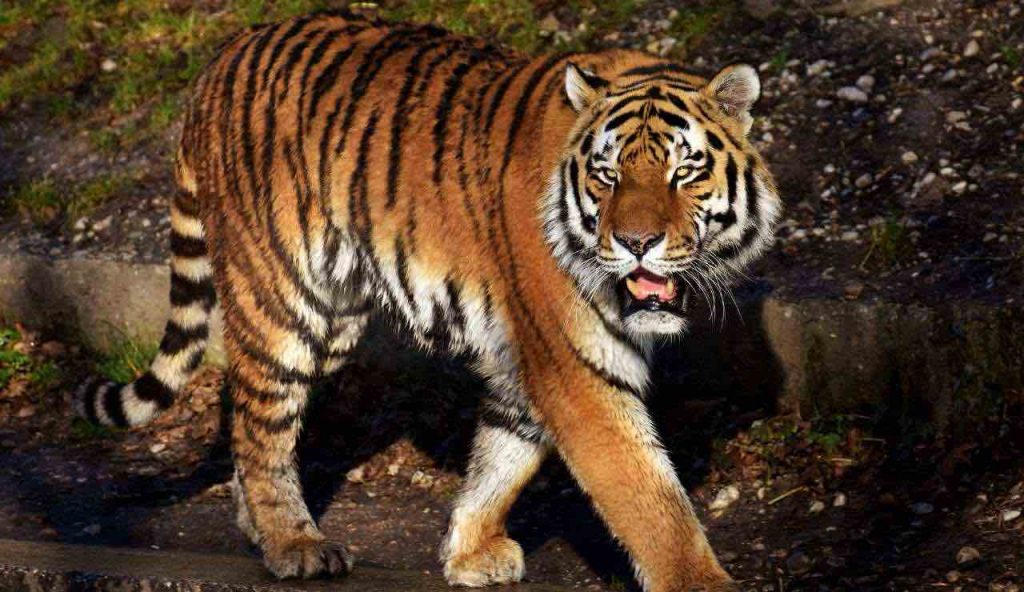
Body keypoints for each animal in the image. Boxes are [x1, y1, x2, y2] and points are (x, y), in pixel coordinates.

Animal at [74, 10, 780, 592]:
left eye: (684, 172)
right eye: (607, 176)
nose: (636, 243)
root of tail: (221, 60)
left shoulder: (527, 359)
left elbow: (503, 455)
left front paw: (469, 552)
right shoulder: (576, 364)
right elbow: (648, 496)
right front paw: (699, 582)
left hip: (334, 319)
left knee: (247, 412)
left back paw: (259, 526)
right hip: (281, 301)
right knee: (262, 422)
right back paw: (293, 543)